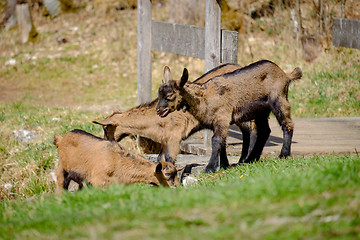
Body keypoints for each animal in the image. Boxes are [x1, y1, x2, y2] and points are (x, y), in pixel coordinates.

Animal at [52, 128, 180, 192]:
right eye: (167, 174)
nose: (177, 187)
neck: (116, 162)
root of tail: (61, 139)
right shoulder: (99, 183)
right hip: (62, 169)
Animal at [94, 64, 255, 169]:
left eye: (105, 128)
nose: (106, 141)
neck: (154, 123)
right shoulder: (165, 139)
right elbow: (159, 159)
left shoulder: (175, 135)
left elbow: (170, 159)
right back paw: (229, 163)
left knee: (251, 128)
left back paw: (246, 159)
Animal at [156, 59, 302, 172]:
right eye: (159, 93)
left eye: (170, 95)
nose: (158, 110)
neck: (204, 98)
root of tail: (285, 74)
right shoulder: (216, 123)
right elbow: (222, 143)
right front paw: (223, 165)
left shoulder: (222, 117)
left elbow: (216, 141)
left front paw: (210, 168)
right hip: (261, 111)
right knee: (264, 131)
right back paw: (250, 159)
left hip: (279, 99)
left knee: (287, 124)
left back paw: (283, 154)